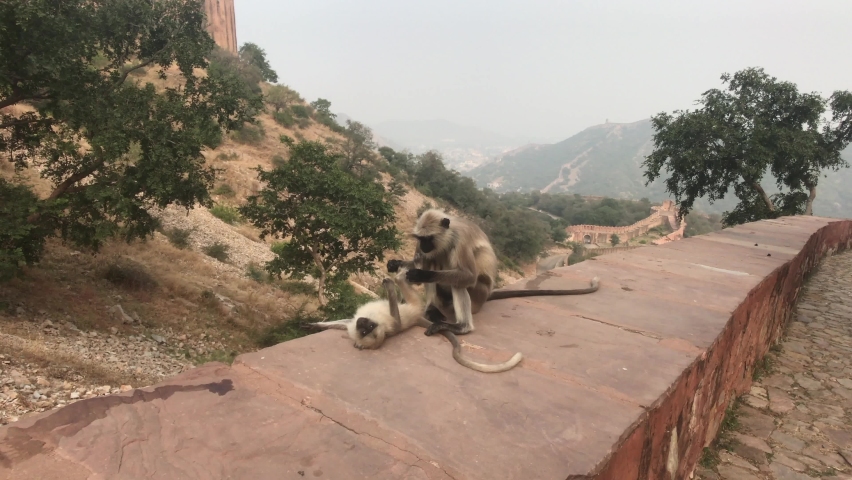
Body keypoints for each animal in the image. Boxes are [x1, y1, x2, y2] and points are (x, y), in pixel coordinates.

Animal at [310, 269, 523, 373]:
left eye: (369, 327)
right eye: (365, 331)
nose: (363, 323)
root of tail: (417, 316)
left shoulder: (386, 326)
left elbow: (393, 320)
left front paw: (311, 325)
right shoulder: (361, 326)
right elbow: (345, 322)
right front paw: (313, 325)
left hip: (415, 303)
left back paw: (399, 276)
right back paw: (399, 276)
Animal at [387, 208, 600, 338]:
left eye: (428, 238)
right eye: (420, 239)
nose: (423, 246)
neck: (448, 235)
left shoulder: (460, 241)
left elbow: (467, 276)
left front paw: (420, 274)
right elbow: (420, 262)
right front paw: (397, 263)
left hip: (478, 294)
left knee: (459, 282)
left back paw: (461, 326)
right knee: (433, 260)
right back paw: (432, 309)